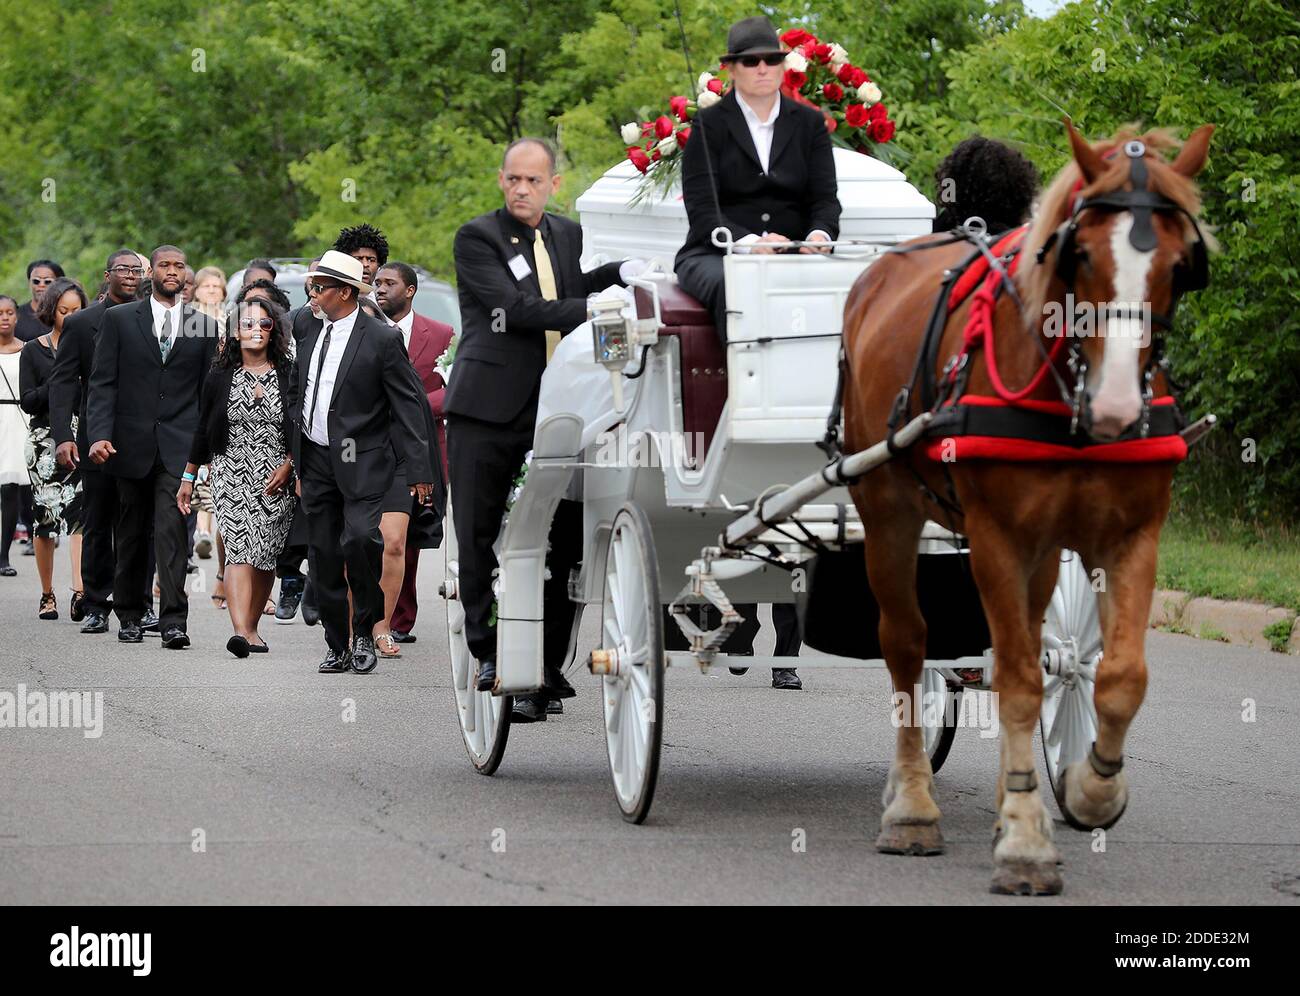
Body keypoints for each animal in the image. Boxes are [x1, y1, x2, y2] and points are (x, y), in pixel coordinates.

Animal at [842, 118, 1216, 894]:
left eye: (1179, 263)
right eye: (1081, 253)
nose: (1116, 405)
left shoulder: (1131, 537)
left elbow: (1117, 676)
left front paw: (1090, 789)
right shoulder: (995, 537)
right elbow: (1013, 681)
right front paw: (1023, 840)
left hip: (1041, 553)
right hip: (887, 510)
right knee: (907, 645)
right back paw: (912, 805)